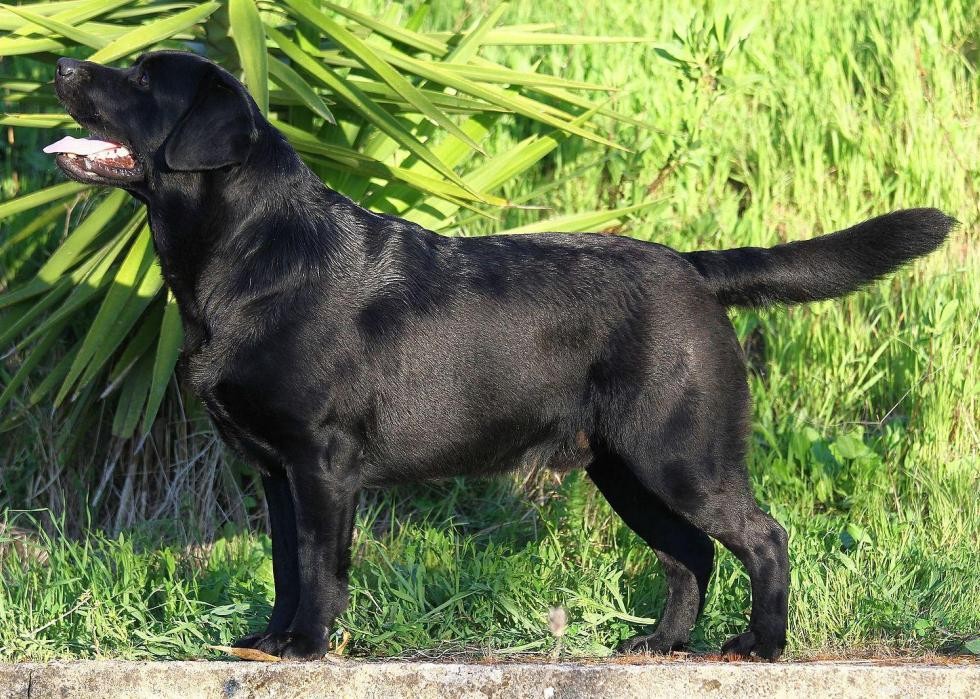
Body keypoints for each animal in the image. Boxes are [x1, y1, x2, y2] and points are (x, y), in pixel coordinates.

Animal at [49, 52, 952, 660]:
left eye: (141, 81)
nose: (60, 65)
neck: (250, 252)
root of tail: (694, 267)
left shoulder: (322, 463)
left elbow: (318, 565)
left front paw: (305, 646)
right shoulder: (276, 471)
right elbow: (282, 562)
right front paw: (267, 641)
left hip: (681, 454)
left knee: (763, 537)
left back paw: (758, 644)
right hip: (623, 467)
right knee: (689, 553)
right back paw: (660, 643)